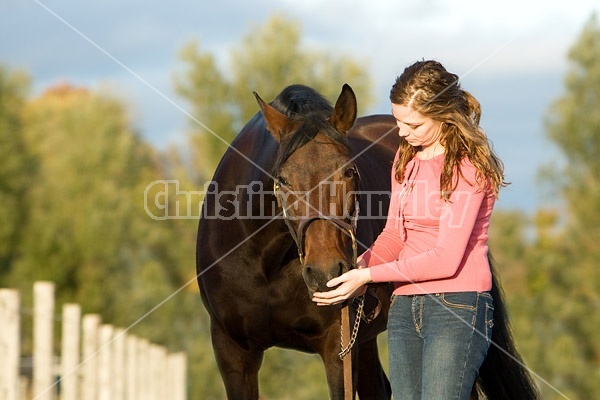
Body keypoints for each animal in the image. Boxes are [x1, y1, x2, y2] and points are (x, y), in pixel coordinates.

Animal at [196, 83, 540, 398]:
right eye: (282, 180)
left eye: (349, 171)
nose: (326, 273)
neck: (266, 263)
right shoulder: (232, 352)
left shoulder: (338, 348)